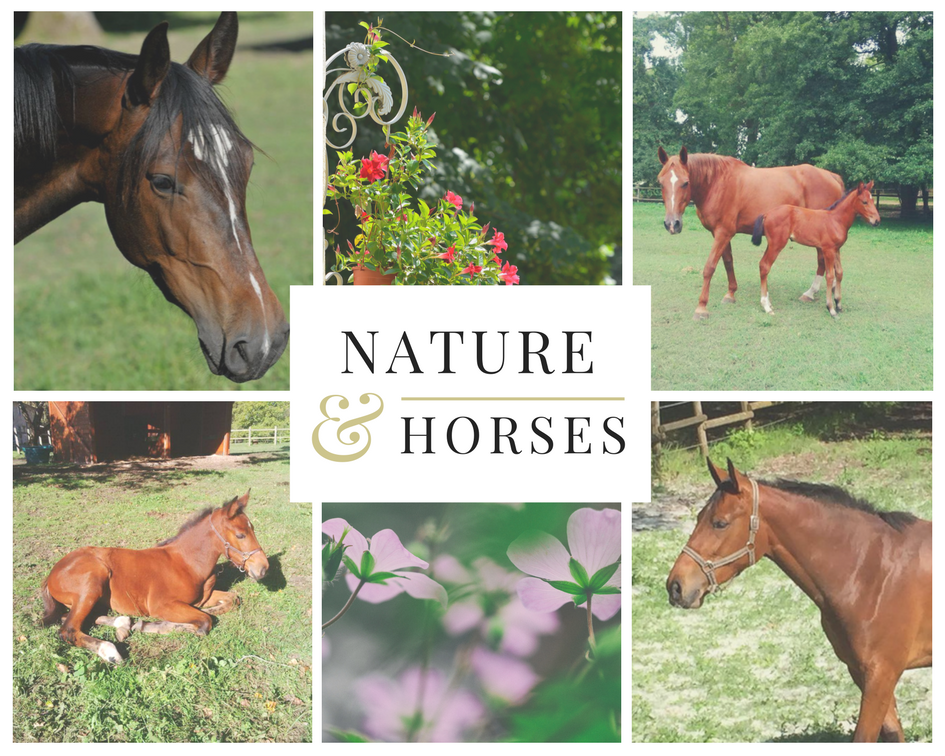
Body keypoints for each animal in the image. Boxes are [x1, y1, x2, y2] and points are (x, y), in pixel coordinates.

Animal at [41, 491, 268, 664]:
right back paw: (111, 651)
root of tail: (52, 572)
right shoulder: (162, 605)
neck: (186, 563)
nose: (263, 568)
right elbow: (204, 622)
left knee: (75, 618)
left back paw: (123, 624)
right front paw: (151, 625)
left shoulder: (203, 597)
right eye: (240, 535)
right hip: (93, 582)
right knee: (69, 630)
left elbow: (232, 599)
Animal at [657, 146, 845, 320]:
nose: (672, 224)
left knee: (821, 262)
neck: (717, 183)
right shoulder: (721, 233)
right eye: (661, 183)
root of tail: (831, 176)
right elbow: (728, 262)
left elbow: (709, 267)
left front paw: (701, 308)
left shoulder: (723, 232)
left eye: (685, 182)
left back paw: (811, 293)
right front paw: (730, 294)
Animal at [666, 459, 931, 742]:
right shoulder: (862, 673)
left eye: (720, 523)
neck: (872, 571)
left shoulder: (882, 675)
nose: (676, 586)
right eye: (698, 517)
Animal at [752, 181, 880, 318]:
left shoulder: (836, 250)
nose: (877, 221)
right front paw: (831, 309)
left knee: (762, 264)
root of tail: (767, 214)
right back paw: (766, 306)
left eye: (872, 200)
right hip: (777, 245)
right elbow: (830, 276)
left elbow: (839, 273)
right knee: (765, 266)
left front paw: (838, 304)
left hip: (771, 245)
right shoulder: (828, 250)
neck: (836, 220)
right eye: (864, 202)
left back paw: (768, 304)